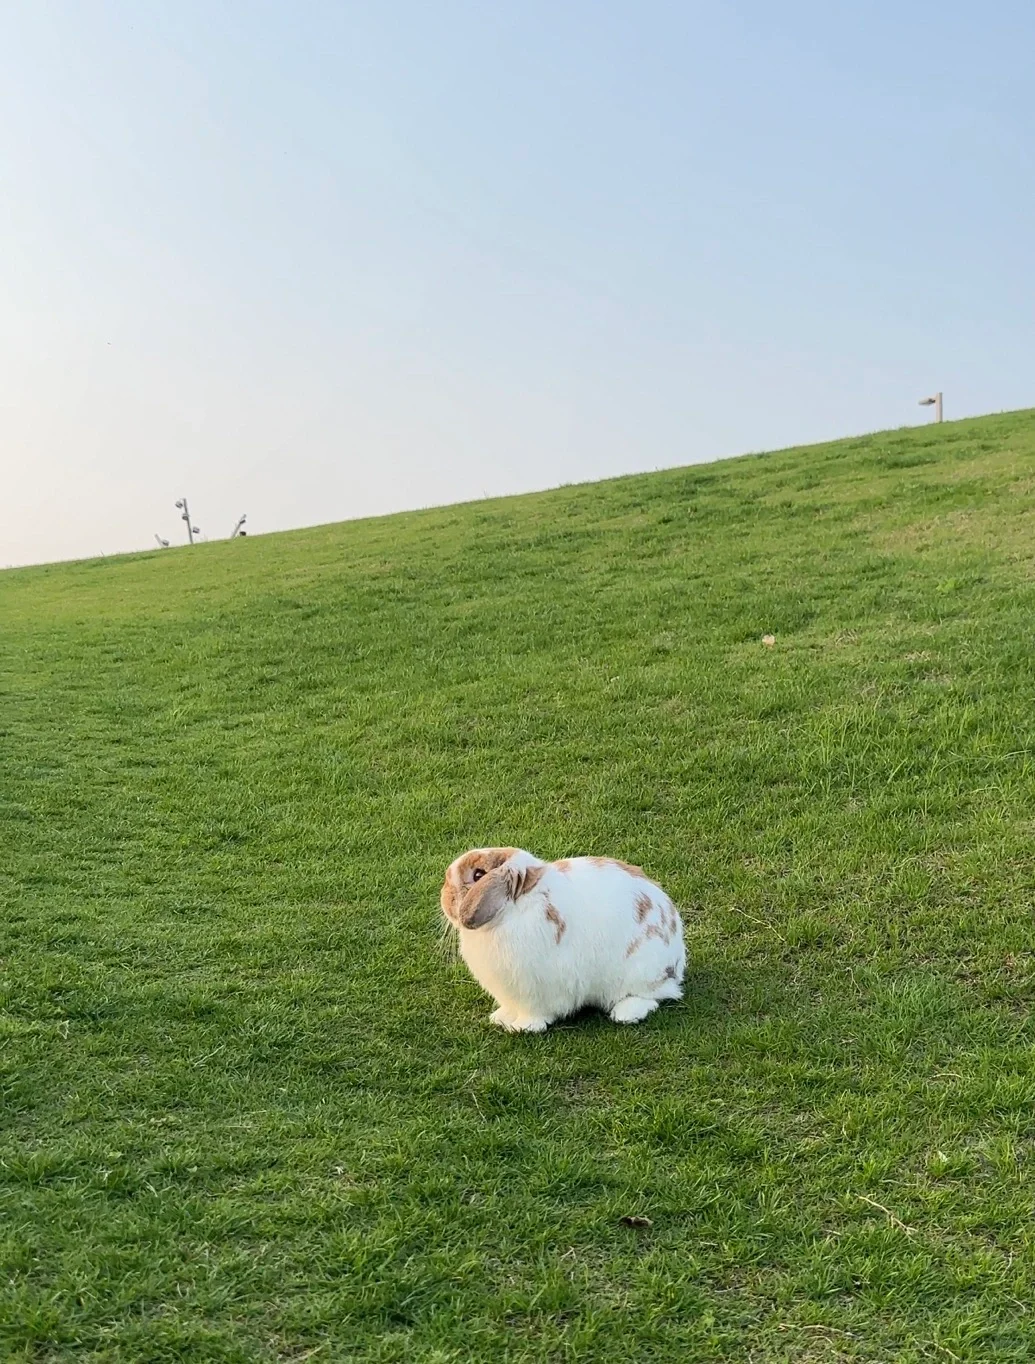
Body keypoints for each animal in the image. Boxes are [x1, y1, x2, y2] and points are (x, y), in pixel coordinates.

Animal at [439, 845, 687, 1025]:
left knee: (654, 996)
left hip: (641, 972)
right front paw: (501, 1018)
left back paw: (626, 1013)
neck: (511, 910)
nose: (444, 895)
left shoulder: (534, 991)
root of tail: (676, 962)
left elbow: (535, 1013)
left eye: (478, 874)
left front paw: (522, 1027)